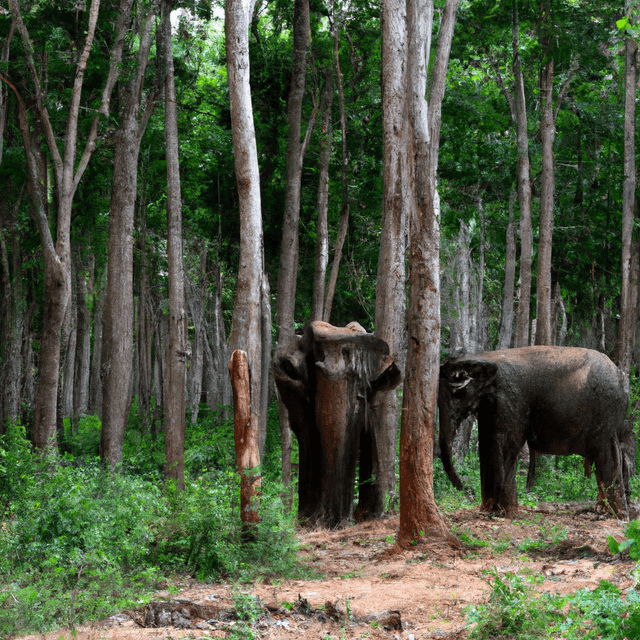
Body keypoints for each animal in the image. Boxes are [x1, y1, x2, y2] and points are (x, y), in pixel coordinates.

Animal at [438, 346, 632, 519]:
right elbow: (488, 444)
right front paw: (492, 511)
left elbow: (509, 443)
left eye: (457, 391)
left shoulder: (511, 397)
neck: (486, 356)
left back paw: (609, 515)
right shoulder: (490, 406)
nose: (467, 490)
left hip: (605, 412)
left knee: (606, 455)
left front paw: (500, 513)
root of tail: (621, 375)